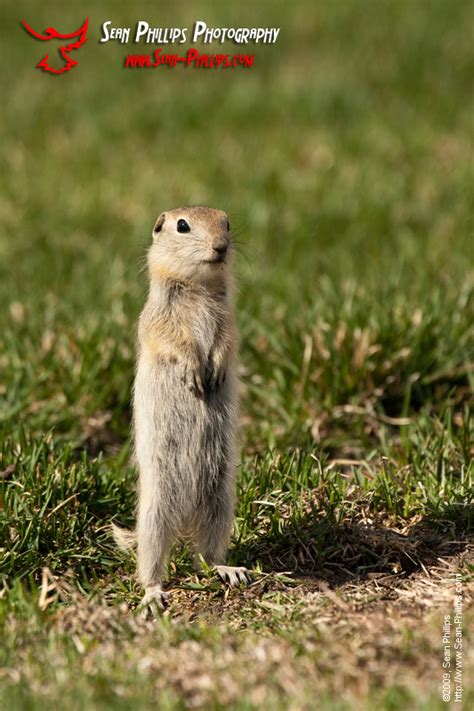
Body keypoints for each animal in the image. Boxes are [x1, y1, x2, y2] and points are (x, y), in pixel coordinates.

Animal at [112, 206, 250, 612]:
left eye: (227, 223)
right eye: (182, 226)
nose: (221, 246)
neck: (198, 286)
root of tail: (186, 518)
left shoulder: (230, 319)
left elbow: (226, 340)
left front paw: (215, 369)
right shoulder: (157, 318)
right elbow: (173, 339)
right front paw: (194, 371)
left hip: (221, 504)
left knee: (204, 556)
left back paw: (229, 570)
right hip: (155, 515)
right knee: (154, 560)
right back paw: (153, 593)